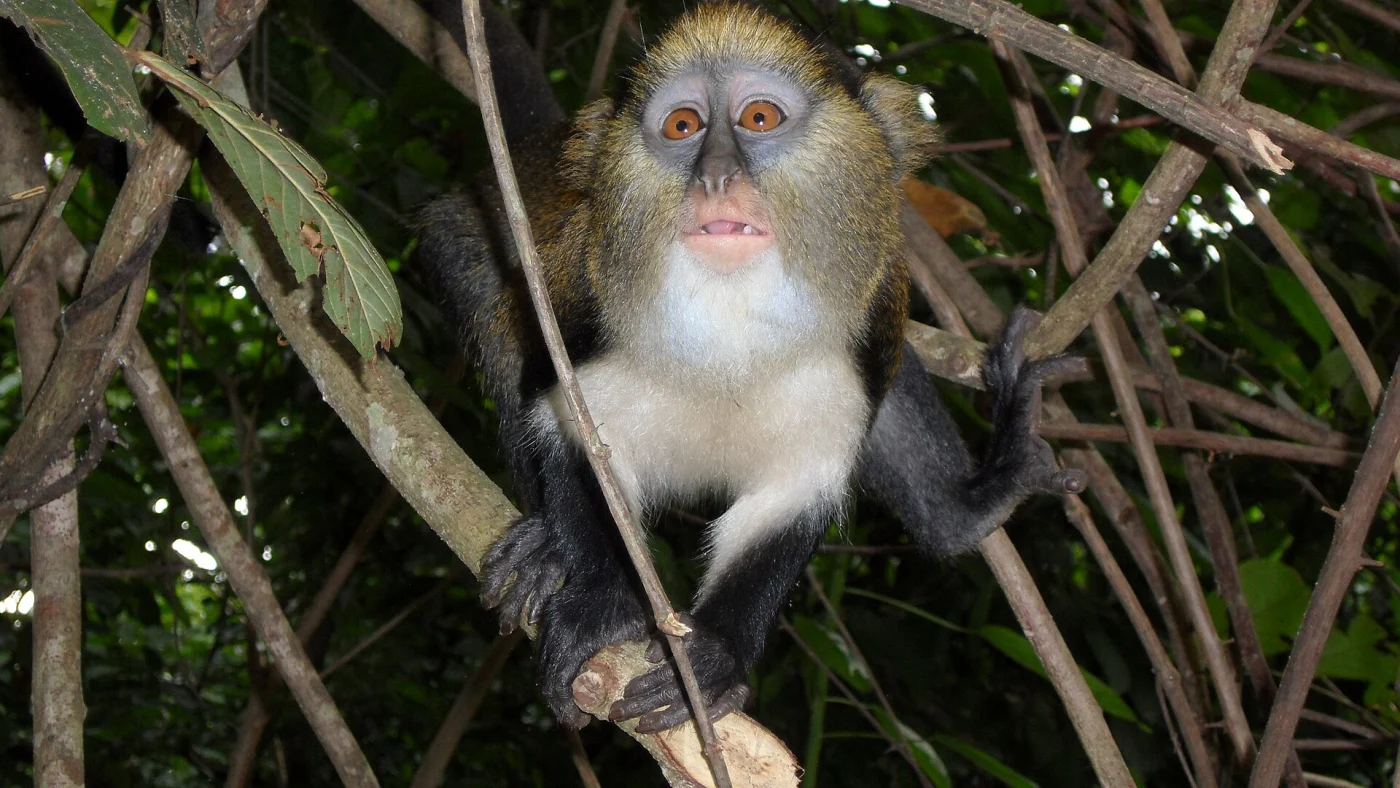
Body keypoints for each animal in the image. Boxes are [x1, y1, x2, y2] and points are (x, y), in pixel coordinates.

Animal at [417, 2, 1085, 733]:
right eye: (683, 126)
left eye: (759, 118)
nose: (715, 178)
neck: (730, 328)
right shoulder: (586, 316)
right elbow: (574, 433)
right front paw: (600, 603)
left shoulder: (858, 338)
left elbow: (793, 494)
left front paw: (718, 655)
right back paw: (542, 546)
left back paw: (966, 506)